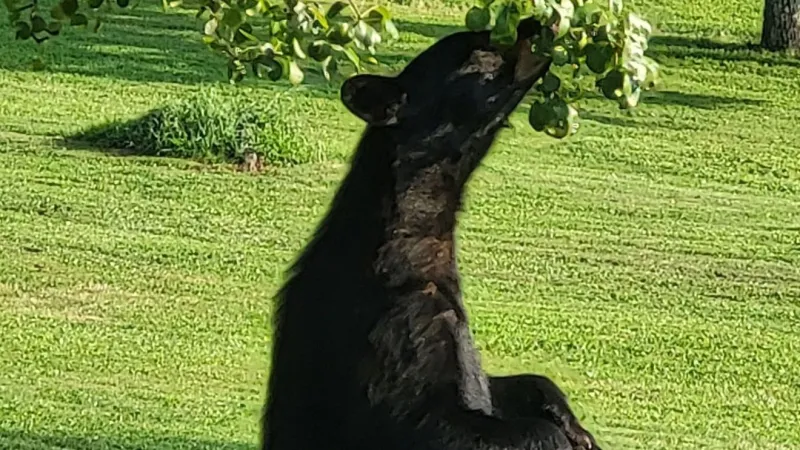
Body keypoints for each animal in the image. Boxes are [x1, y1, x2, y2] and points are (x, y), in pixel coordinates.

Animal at [260, 15, 601, 450]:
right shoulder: (398, 323)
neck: (411, 243)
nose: (538, 20)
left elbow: (521, 385)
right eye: (480, 52)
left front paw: (574, 426)